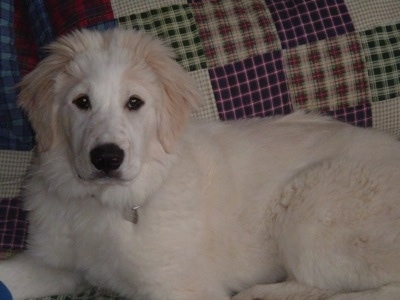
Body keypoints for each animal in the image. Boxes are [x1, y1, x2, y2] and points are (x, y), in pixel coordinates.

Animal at [0, 28, 400, 300]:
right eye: (81, 101)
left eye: (134, 102)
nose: (107, 158)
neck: (102, 204)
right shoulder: (57, 264)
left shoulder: (181, 287)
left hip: (313, 216)